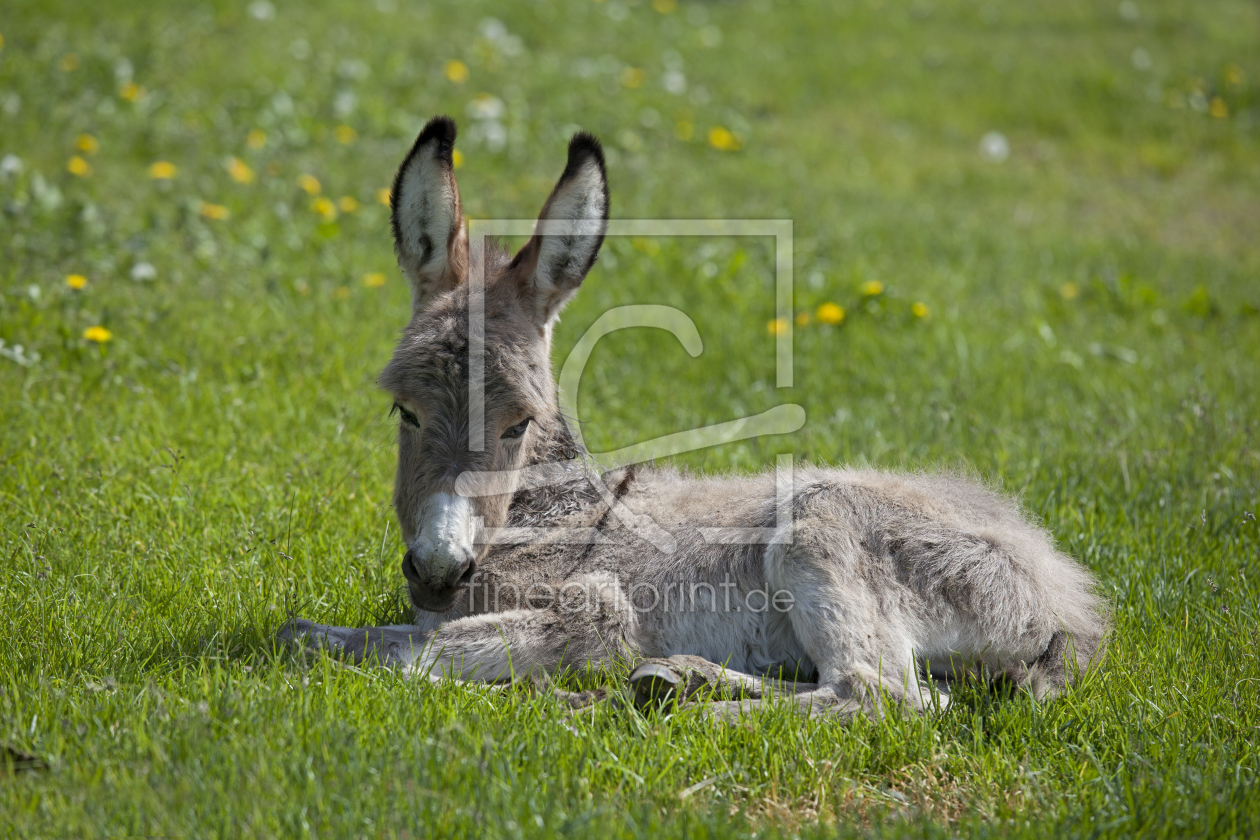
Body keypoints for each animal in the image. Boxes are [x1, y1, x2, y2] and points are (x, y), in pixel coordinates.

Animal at [280, 116, 1108, 725]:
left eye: (519, 423)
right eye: (405, 410)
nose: (439, 569)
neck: (551, 515)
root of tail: (1064, 593)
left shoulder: (594, 614)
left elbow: (405, 662)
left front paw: (551, 695)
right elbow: (312, 638)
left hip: (823, 525)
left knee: (879, 694)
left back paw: (677, 705)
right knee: (912, 694)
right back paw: (678, 679)